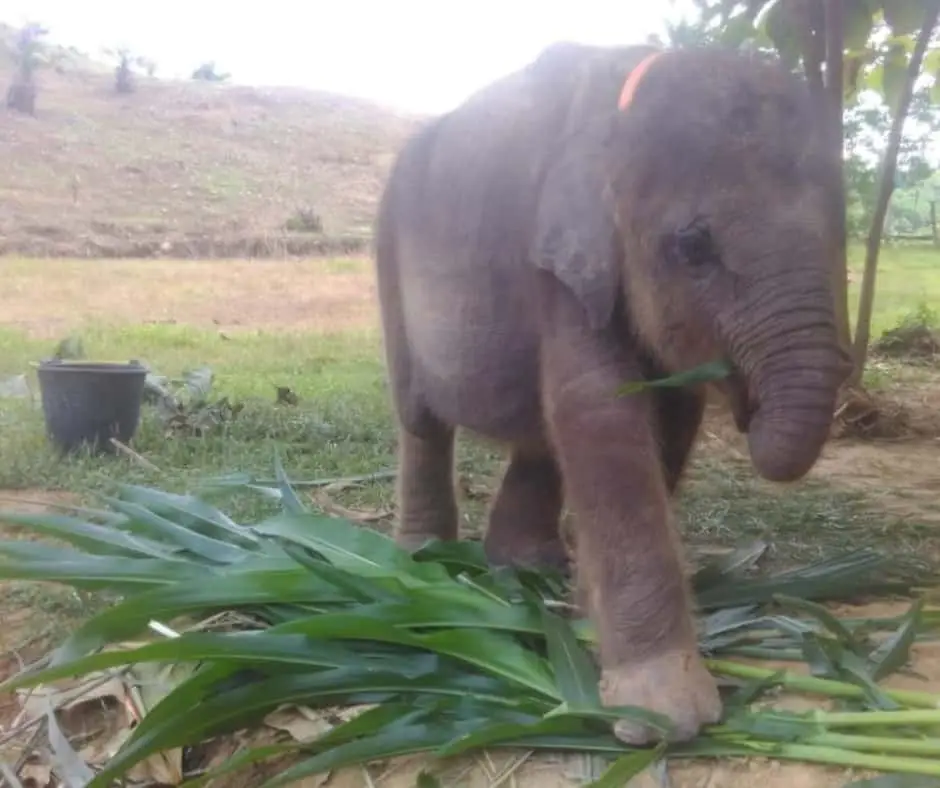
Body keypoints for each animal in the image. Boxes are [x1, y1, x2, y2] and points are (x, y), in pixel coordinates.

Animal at [370, 41, 848, 744]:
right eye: (693, 246)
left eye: (843, 234)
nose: (747, 404)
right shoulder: (557, 257)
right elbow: (600, 410)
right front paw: (662, 717)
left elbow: (667, 417)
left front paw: (586, 620)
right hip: (387, 253)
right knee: (421, 418)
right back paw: (423, 561)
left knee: (538, 437)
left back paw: (529, 568)